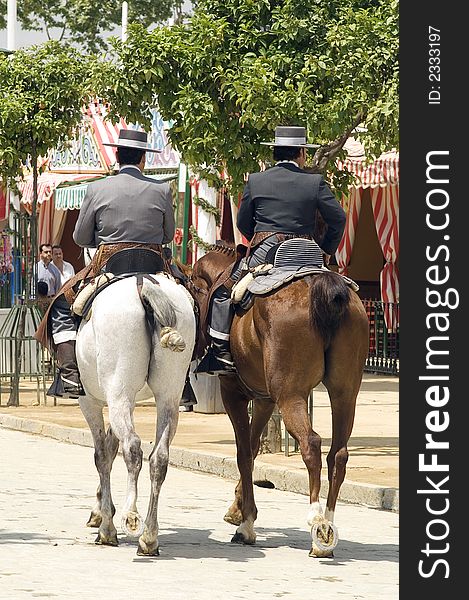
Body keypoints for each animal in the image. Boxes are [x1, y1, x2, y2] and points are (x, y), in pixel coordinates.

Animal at [75, 270, 196, 552]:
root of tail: (143, 284)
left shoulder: (90, 401)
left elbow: (101, 456)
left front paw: (106, 525)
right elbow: (109, 448)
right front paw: (101, 510)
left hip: (118, 391)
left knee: (132, 447)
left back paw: (130, 515)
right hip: (168, 396)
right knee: (159, 457)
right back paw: (149, 537)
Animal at [187, 245, 370, 556]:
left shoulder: (233, 394)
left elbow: (243, 453)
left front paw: (246, 524)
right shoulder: (264, 401)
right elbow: (252, 449)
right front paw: (238, 509)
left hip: (291, 395)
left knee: (311, 443)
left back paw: (317, 522)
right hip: (345, 394)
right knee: (338, 454)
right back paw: (329, 528)